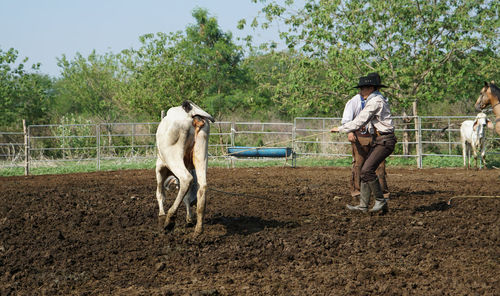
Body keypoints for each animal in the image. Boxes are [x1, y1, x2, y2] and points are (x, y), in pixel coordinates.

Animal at [154, 100, 213, 237]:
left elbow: (160, 193)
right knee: (202, 186)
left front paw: (161, 214)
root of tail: (191, 113)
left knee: (186, 179)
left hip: (173, 157)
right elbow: (186, 196)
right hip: (201, 154)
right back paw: (198, 229)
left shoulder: (160, 168)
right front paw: (189, 218)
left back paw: (170, 219)